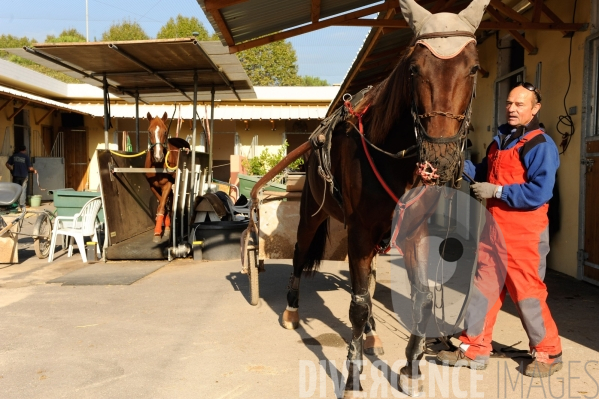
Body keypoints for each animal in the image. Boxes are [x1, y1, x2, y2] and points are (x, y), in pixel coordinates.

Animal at [145, 112, 190, 244]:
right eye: (149, 131)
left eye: (165, 131)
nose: (158, 156)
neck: (158, 165)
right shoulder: (153, 186)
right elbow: (162, 206)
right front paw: (162, 230)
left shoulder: (168, 185)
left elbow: (162, 207)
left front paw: (158, 232)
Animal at [284, 0, 490, 396]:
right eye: (414, 68)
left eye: (474, 68)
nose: (441, 157)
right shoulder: (360, 232)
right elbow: (359, 304)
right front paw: (353, 376)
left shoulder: (414, 231)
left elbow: (422, 297)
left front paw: (412, 367)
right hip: (313, 214)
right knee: (301, 254)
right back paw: (291, 311)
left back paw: (371, 335)